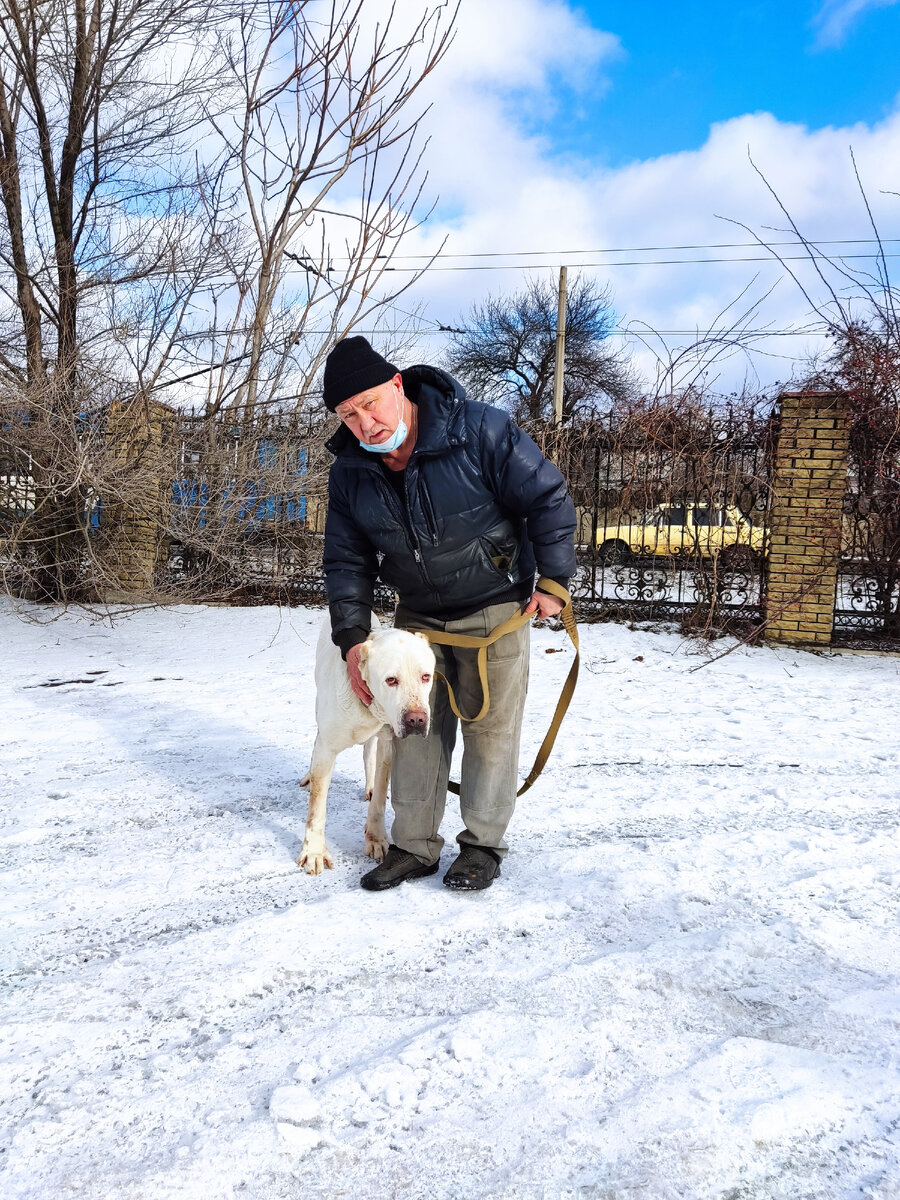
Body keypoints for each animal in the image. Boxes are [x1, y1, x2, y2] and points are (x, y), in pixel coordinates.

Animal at [300, 614, 436, 878]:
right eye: (391, 680)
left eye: (426, 677)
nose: (416, 720)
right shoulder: (326, 749)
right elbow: (317, 808)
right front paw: (314, 852)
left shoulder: (388, 744)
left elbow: (379, 801)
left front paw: (375, 838)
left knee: (368, 754)